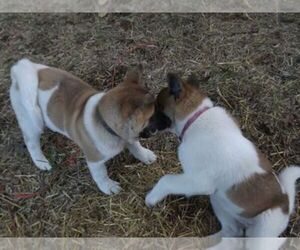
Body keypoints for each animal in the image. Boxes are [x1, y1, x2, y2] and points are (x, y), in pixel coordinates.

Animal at [9, 59, 171, 195]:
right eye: (154, 114)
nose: (170, 119)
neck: (103, 120)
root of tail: (20, 69)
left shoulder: (128, 137)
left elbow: (136, 147)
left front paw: (145, 155)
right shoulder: (95, 161)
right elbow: (101, 175)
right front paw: (109, 187)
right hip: (30, 121)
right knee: (31, 143)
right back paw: (41, 162)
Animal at [146, 73, 300, 237]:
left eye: (157, 107)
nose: (143, 126)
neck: (196, 118)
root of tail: (287, 204)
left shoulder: (199, 181)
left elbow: (166, 180)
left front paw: (151, 198)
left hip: (263, 228)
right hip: (218, 198)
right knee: (232, 232)